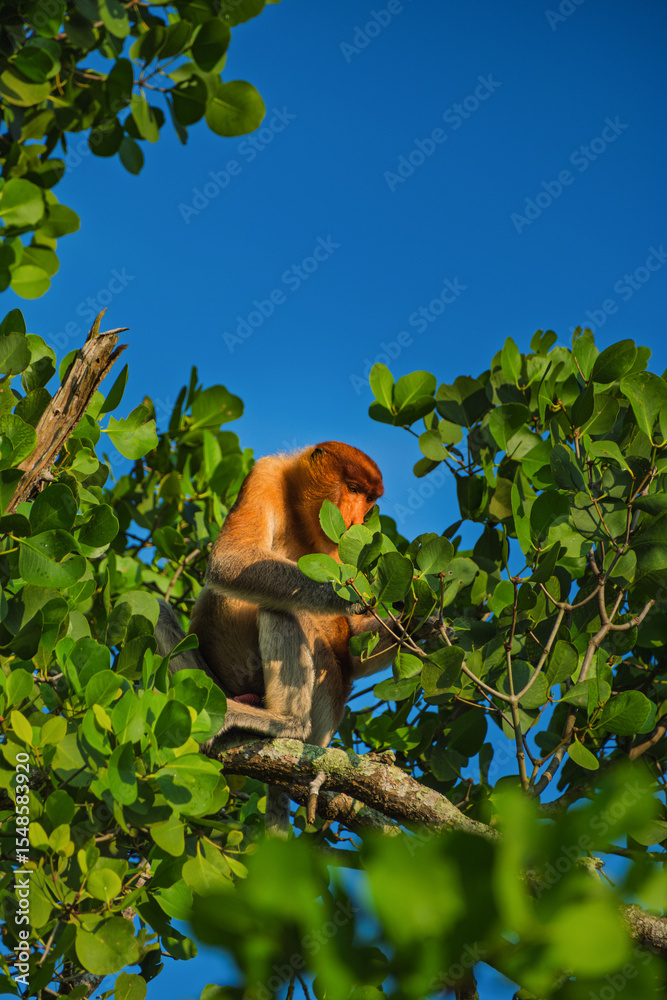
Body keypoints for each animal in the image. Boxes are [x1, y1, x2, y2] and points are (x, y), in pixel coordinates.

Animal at [157, 442, 409, 833]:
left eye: (370, 499)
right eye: (353, 489)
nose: (356, 521)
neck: (303, 515)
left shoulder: (348, 549)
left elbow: (349, 649)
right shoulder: (265, 476)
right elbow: (231, 559)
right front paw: (356, 599)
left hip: (323, 708)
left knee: (280, 610)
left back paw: (285, 723)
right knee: (156, 609)